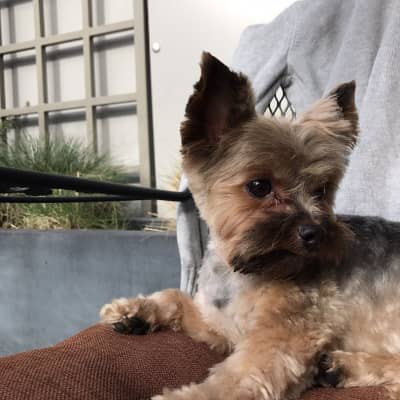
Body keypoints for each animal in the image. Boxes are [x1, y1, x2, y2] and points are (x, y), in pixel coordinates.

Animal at [100, 52, 400, 400]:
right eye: (259, 186)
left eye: (321, 190)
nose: (315, 233)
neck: (245, 271)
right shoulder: (219, 324)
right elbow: (177, 298)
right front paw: (136, 309)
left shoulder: (281, 341)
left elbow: (230, 382)